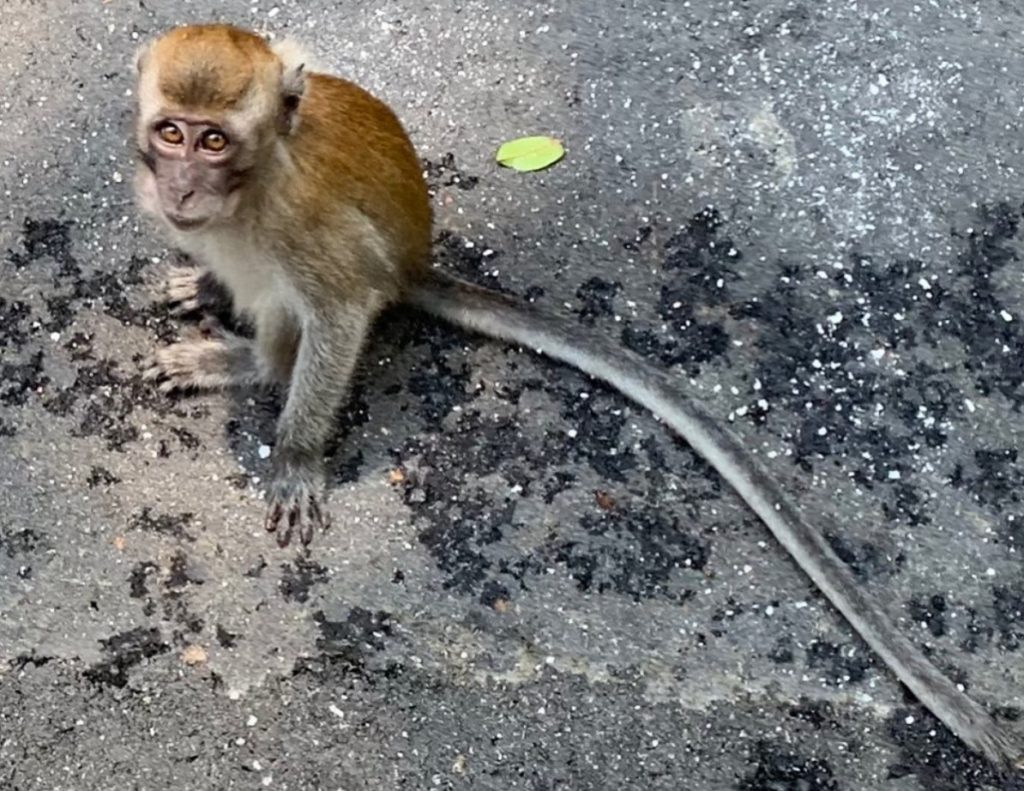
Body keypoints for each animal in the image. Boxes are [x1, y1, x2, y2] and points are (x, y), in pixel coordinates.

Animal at [134, 24, 1024, 766]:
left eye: (215, 140)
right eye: (170, 133)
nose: (181, 189)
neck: (250, 191)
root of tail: (419, 261)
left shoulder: (305, 232)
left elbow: (339, 312)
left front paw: (295, 455)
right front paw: (207, 290)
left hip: (362, 264)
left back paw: (249, 362)